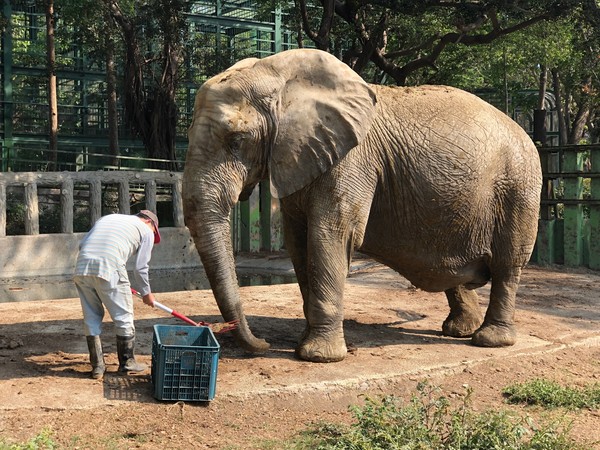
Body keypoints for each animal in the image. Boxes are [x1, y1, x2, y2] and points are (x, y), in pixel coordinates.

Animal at [180, 47, 540, 362]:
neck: (278, 73)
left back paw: (489, 340)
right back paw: (459, 330)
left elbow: (331, 234)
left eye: (237, 141)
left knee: (509, 264)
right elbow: (298, 241)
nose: (262, 344)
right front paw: (305, 343)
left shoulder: (352, 161)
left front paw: (318, 357)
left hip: (519, 187)